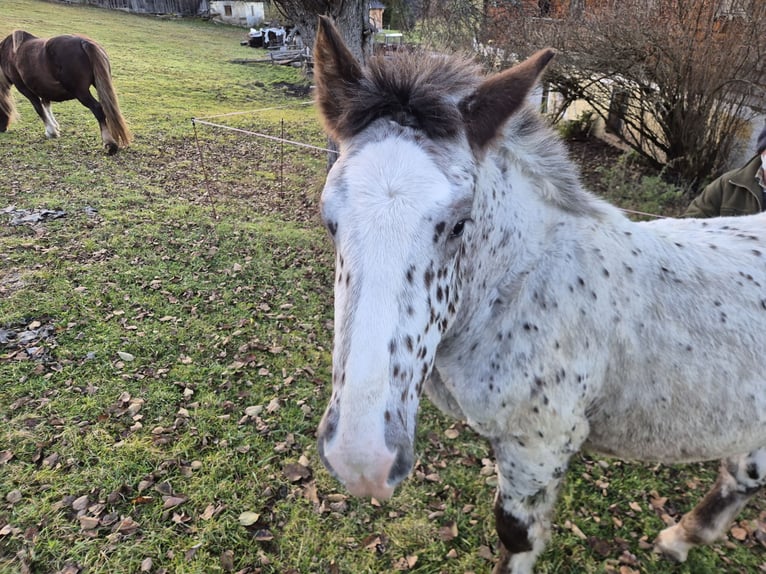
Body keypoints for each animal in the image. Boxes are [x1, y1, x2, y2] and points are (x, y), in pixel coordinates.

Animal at [0, 30, 131, 155]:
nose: (3, 129)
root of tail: (83, 42)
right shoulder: (43, 88)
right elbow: (46, 105)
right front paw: (55, 127)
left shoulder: (24, 88)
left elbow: (39, 108)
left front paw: (51, 131)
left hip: (81, 93)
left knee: (98, 108)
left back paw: (109, 144)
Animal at [312, 16, 766, 574]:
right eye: (329, 220)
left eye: (459, 224)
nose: (361, 460)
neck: (523, 287)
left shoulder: (539, 447)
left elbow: (516, 536)